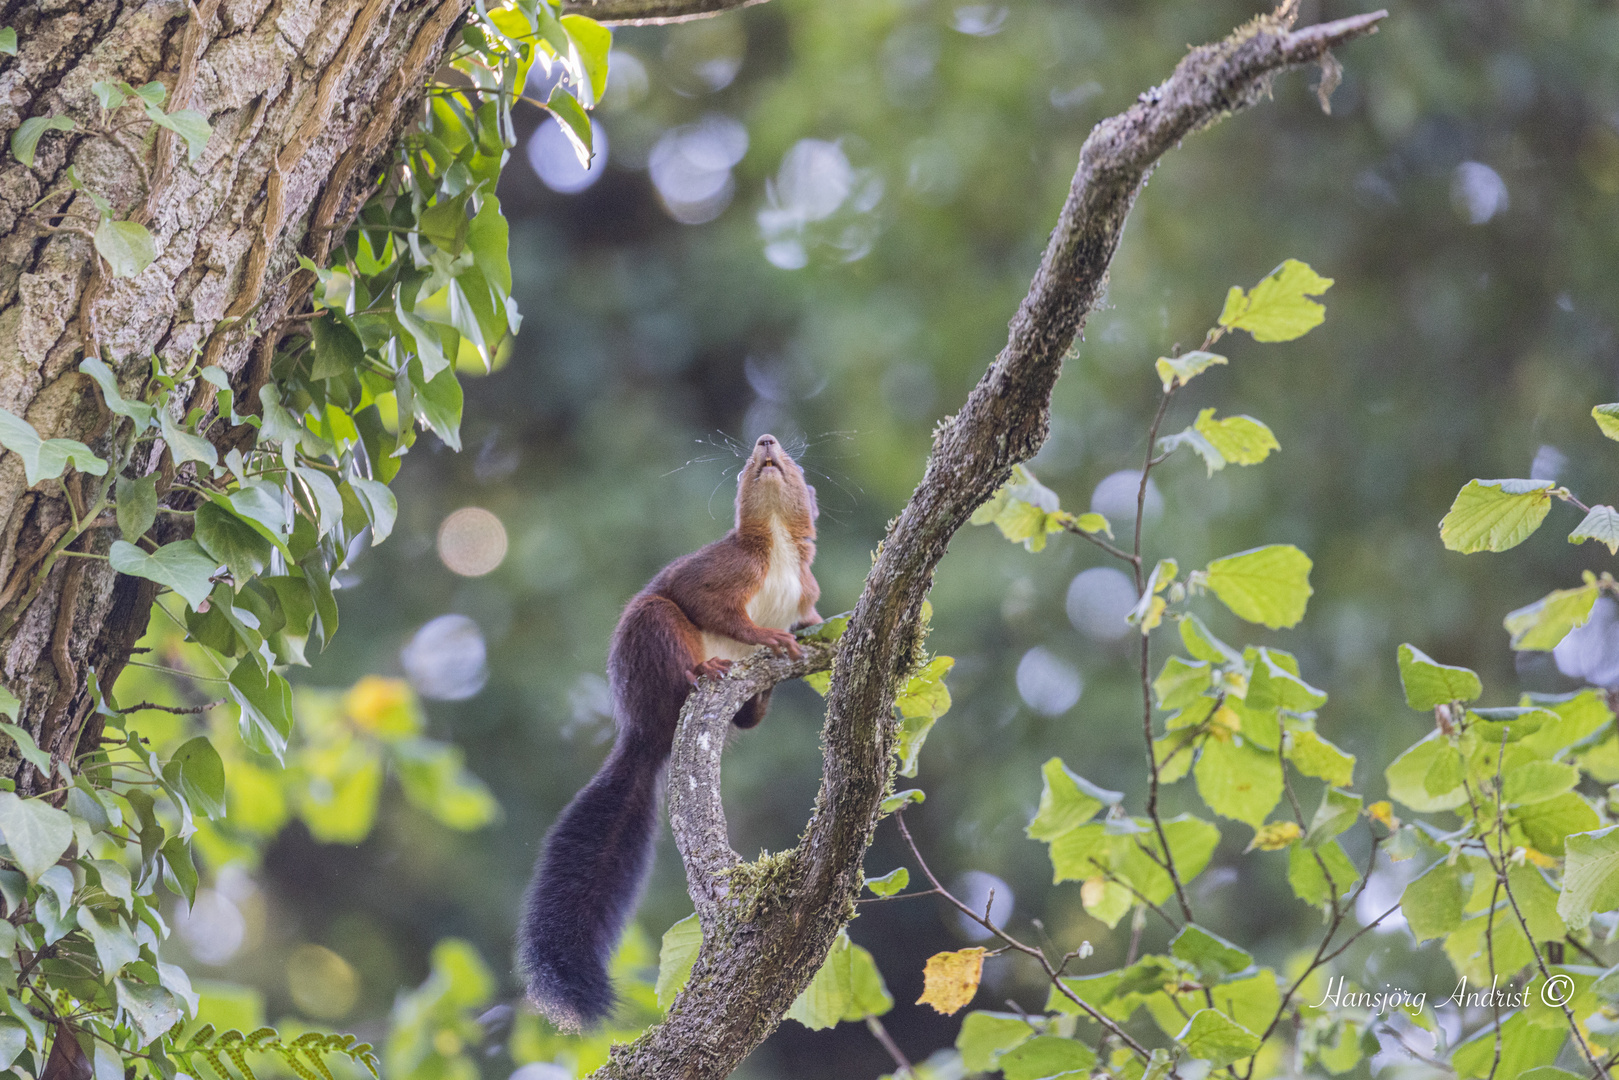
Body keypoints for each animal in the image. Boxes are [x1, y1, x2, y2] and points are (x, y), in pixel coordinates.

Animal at [518, 433, 822, 1029]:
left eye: (796, 466)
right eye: (747, 467)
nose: (766, 442)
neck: (776, 543)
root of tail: (646, 733)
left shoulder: (806, 588)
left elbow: (811, 615)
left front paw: (807, 635)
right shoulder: (720, 569)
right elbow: (706, 601)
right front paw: (764, 634)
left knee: (746, 718)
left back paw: (760, 698)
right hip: (653, 630)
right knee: (670, 631)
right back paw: (702, 671)